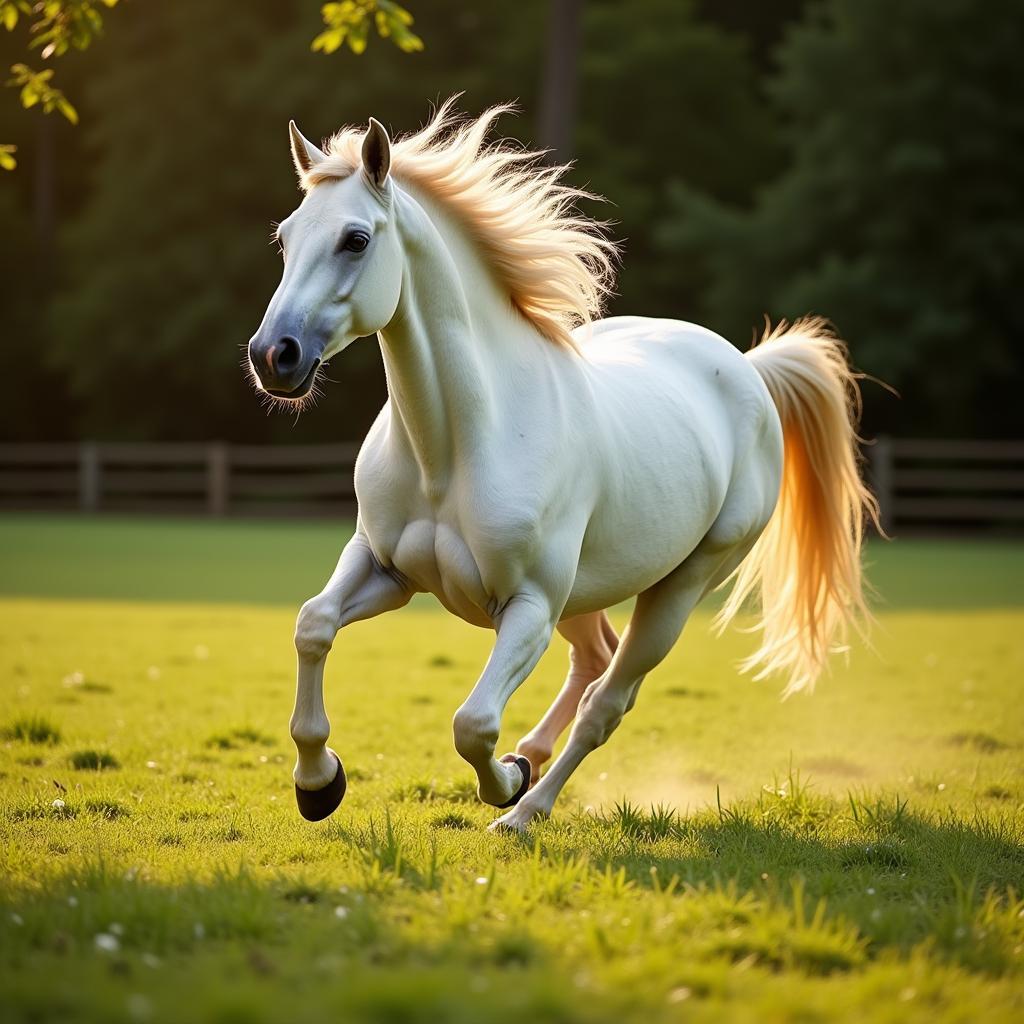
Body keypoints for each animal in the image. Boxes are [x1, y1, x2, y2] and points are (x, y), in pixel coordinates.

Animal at [243, 101, 876, 831]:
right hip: (587, 590)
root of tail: (747, 367)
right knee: (593, 661)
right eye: (286, 238)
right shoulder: (384, 567)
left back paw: (526, 807)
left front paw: (507, 779)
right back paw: (533, 760)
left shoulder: (529, 607)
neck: (452, 450)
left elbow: (473, 724)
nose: (273, 355)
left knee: (607, 700)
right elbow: (313, 625)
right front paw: (318, 784)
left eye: (355, 239)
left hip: (678, 586)